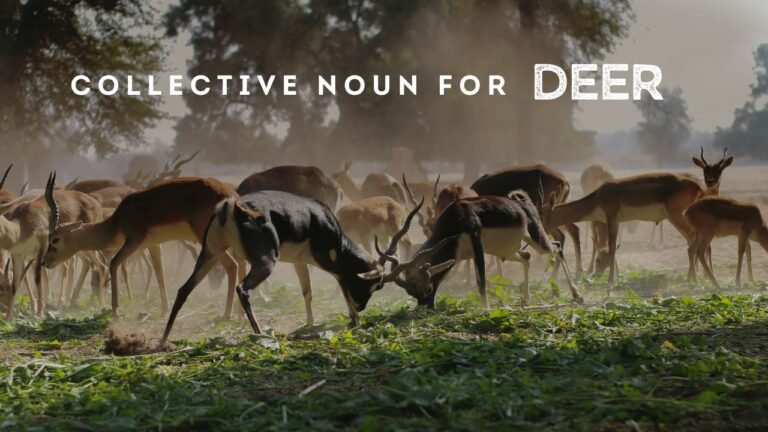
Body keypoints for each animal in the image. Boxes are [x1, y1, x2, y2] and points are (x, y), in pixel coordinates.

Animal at [42, 176, 241, 318]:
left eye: (55, 239)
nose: (45, 262)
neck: (116, 223)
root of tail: (229, 195)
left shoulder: (134, 241)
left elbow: (114, 263)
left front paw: (115, 311)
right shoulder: (153, 245)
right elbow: (160, 272)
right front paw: (164, 310)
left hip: (208, 240)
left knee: (232, 266)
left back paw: (227, 315)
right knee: (240, 264)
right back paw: (238, 314)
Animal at [160, 191, 451, 344]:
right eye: (376, 284)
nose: (363, 307)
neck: (328, 224)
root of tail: (232, 208)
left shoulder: (300, 262)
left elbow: (307, 291)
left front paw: (310, 324)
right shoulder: (330, 262)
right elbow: (342, 285)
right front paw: (355, 322)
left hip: (209, 254)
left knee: (183, 290)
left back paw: (163, 341)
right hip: (265, 263)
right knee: (243, 289)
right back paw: (261, 335)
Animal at [374, 190, 583, 309]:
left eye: (428, 288)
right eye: (411, 294)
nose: (426, 307)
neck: (456, 218)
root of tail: (521, 202)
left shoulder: (476, 244)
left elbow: (481, 280)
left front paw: (486, 310)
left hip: (537, 240)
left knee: (557, 248)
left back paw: (577, 295)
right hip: (506, 251)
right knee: (526, 256)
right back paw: (525, 301)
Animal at [541, 173, 705, 286]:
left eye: (541, 214)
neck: (598, 197)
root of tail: (697, 185)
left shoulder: (612, 218)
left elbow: (613, 247)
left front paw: (611, 281)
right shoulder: (614, 221)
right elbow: (613, 247)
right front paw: (616, 278)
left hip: (676, 216)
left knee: (693, 238)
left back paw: (694, 280)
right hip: (676, 218)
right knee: (692, 240)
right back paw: (691, 278)